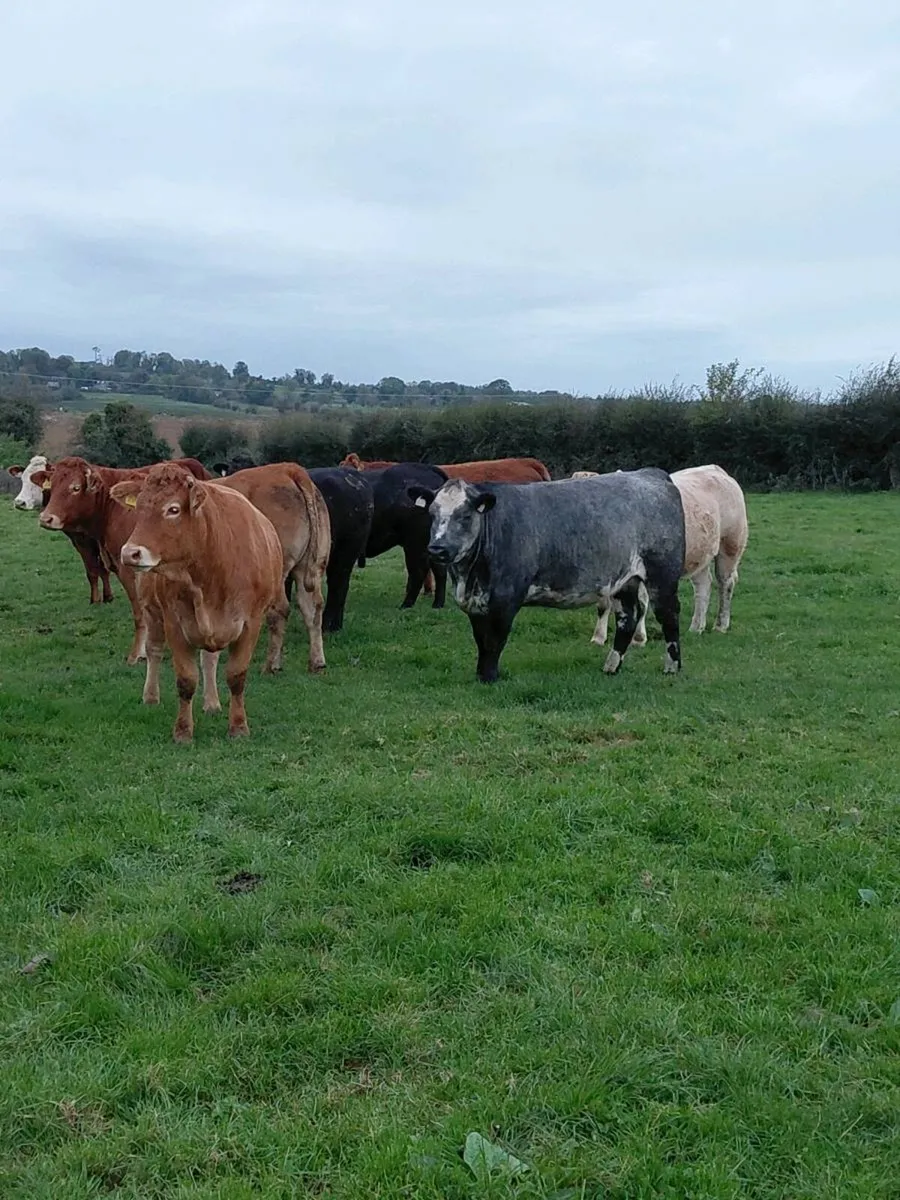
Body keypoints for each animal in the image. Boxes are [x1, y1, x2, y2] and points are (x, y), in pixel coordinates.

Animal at [34, 456, 211, 663]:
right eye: (51, 486)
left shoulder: (128, 568)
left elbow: (139, 611)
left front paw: (137, 653)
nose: (46, 519)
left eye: (75, 487)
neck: (112, 507)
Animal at [110, 464, 287, 742]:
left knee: (209, 659)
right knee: (154, 650)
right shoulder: (174, 622)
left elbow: (236, 676)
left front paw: (238, 727)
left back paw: (212, 703)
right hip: (151, 610)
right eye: (138, 507)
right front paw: (183, 731)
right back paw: (151, 696)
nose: (130, 553)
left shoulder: (251, 623)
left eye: (173, 509)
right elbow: (186, 680)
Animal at [212, 463, 331, 672]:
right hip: (313, 565)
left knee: (280, 610)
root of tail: (288, 469)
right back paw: (317, 662)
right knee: (313, 607)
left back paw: (271, 665)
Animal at [409, 469, 685, 683]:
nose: (437, 548)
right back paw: (611, 667)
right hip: (625, 581)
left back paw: (672, 667)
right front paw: (480, 674)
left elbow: (495, 641)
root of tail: (651, 474)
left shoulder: (505, 600)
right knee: (628, 618)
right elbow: (482, 641)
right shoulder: (475, 604)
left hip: (662, 576)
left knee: (669, 616)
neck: (469, 576)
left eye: (465, 516)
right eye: (432, 514)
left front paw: (489, 677)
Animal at [590, 464, 748, 646]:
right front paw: (598, 638)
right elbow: (603, 604)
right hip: (700, 552)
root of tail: (715, 469)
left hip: (730, 544)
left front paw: (638, 638)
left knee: (726, 582)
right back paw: (696, 627)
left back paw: (720, 625)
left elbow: (642, 603)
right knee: (704, 585)